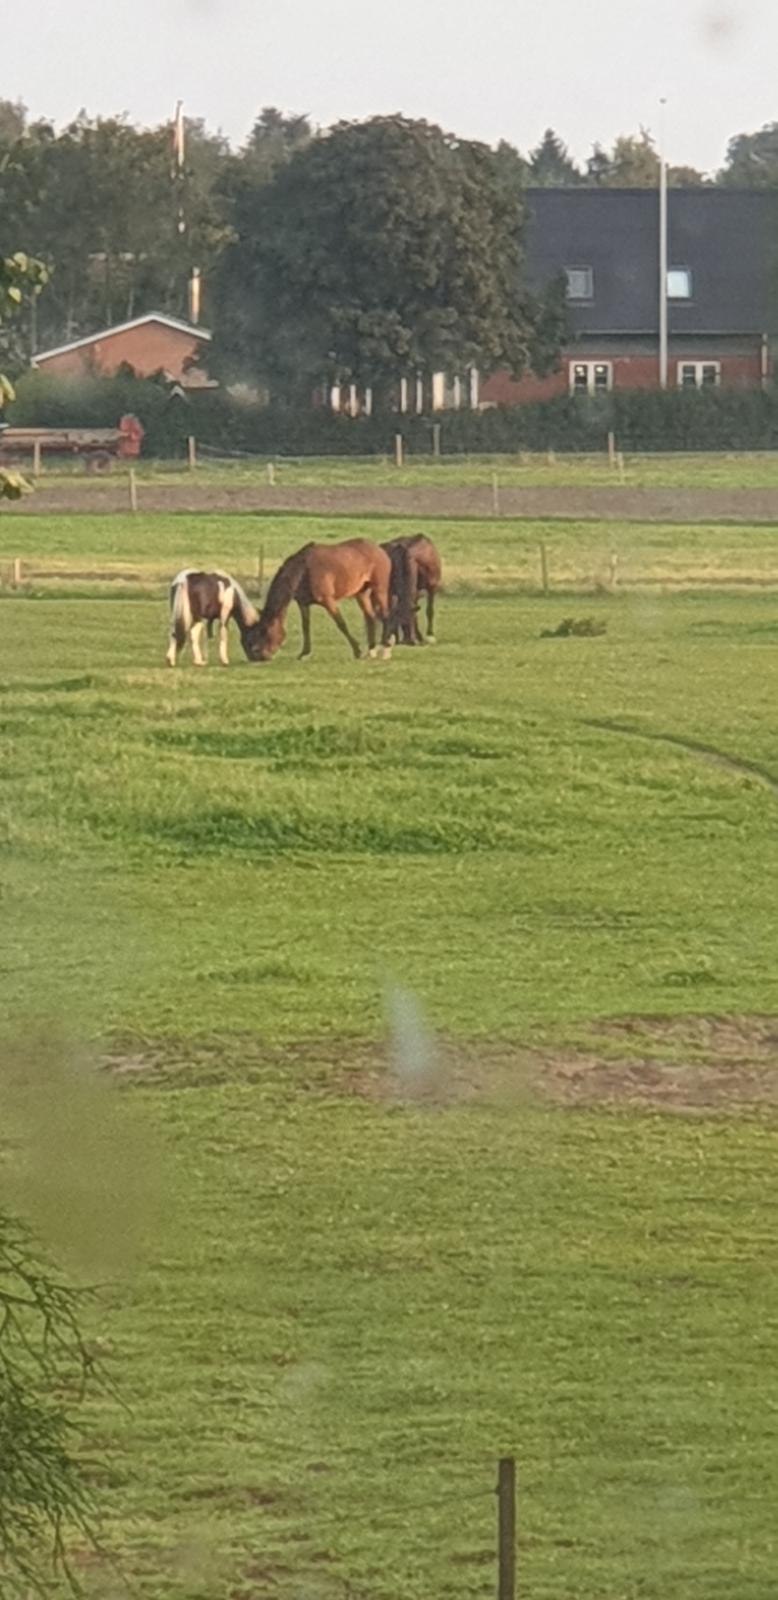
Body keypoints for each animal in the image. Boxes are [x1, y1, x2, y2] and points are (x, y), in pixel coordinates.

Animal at [240, 537, 392, 662]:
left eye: (262, 632)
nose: (257, 657)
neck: (303, 570)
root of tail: (380, 550)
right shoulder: (303, 604)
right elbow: (305, 627)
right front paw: (304, 653)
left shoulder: (328, 600)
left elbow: (341, 623)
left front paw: (357, 650)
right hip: (361, 594)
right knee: (370, 617)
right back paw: (371, 651)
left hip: (379, 589)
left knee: (385, 615)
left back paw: (384, 650)